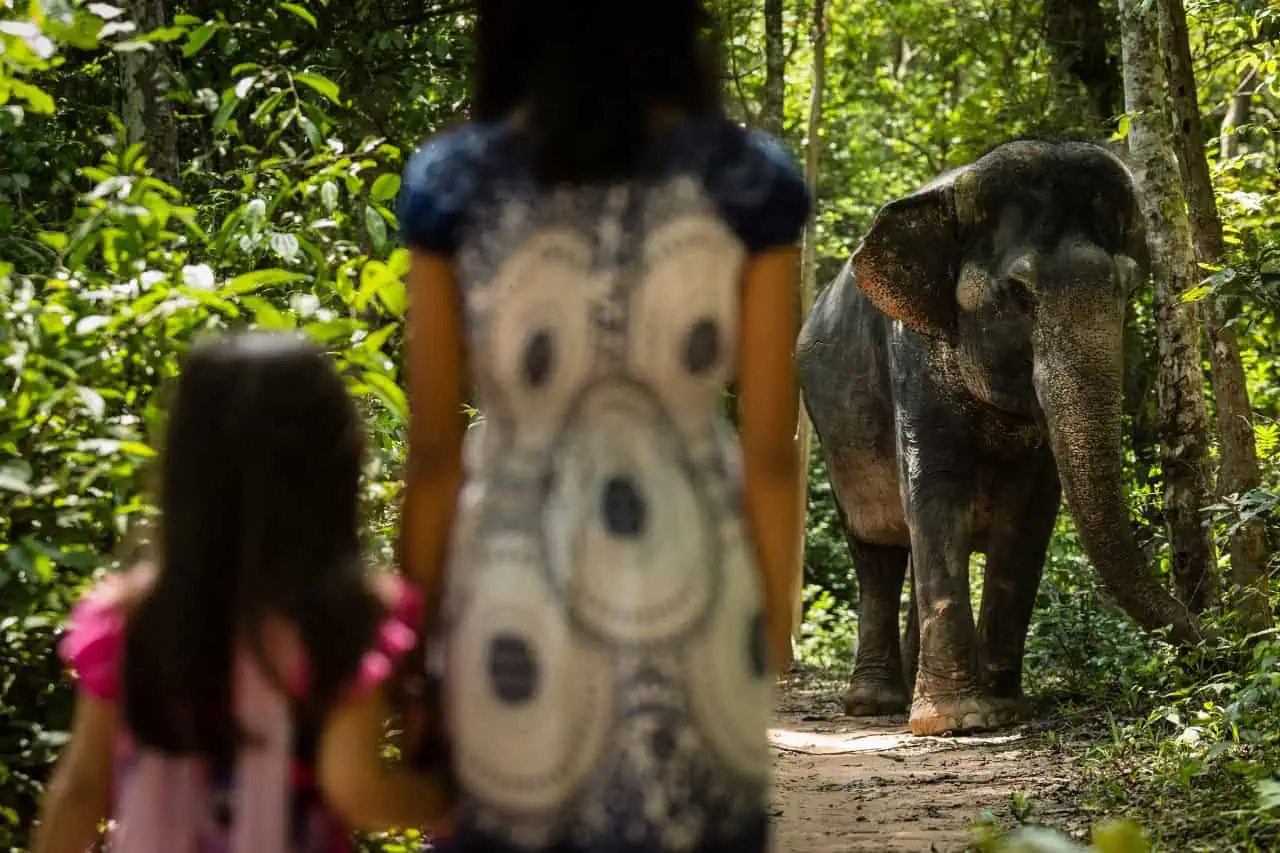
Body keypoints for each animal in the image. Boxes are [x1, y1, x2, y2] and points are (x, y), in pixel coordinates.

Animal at [796, 139, 1201, 737]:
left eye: (1129, 290)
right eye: (1018, 293)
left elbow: (1027, 515)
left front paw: (1005, 708)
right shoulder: (911, 351)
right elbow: (936, 494)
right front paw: (960, 720)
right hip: (832, 437)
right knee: (878, 556)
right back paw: (874, 704)